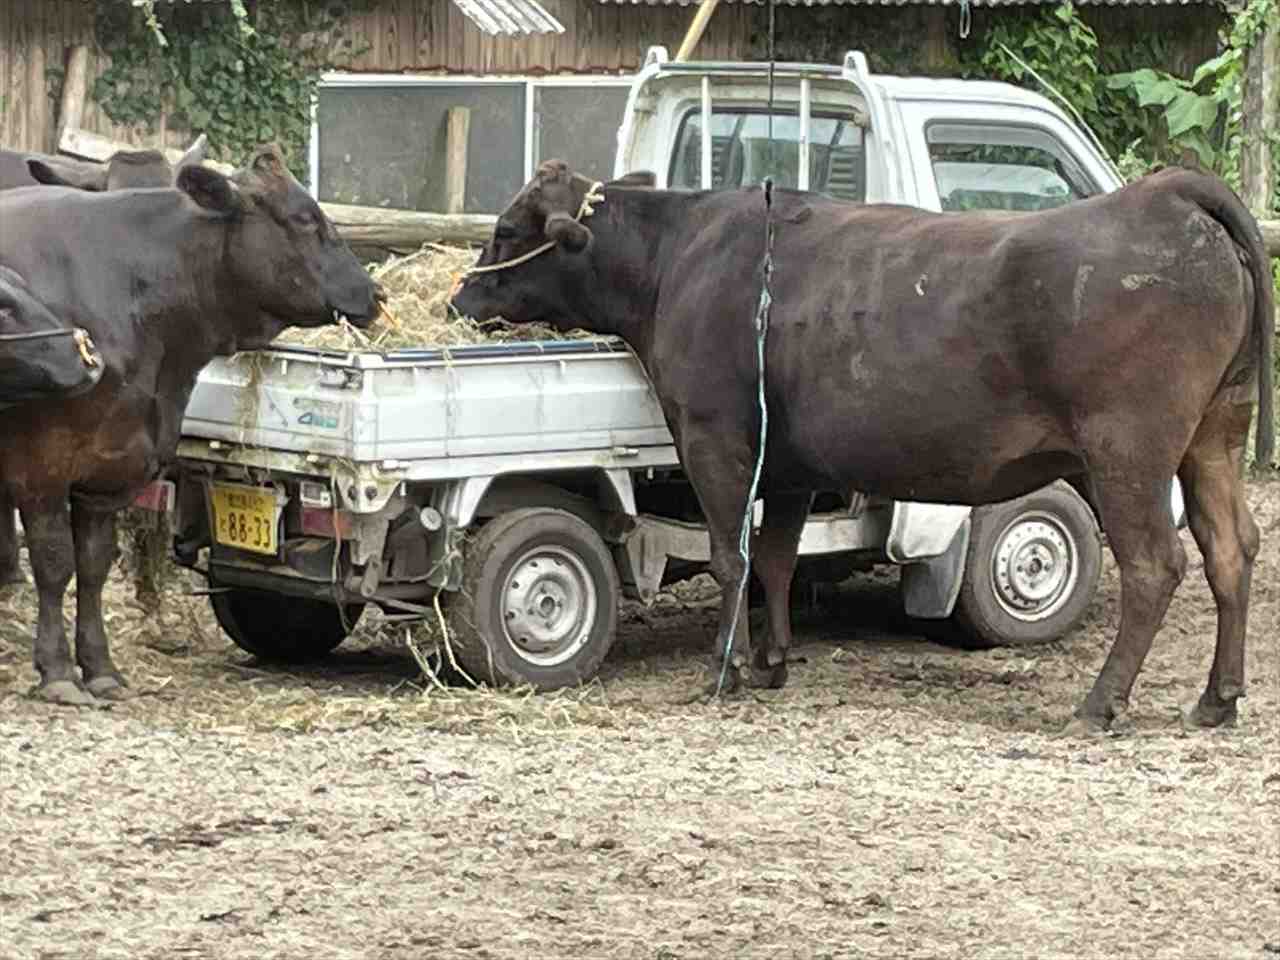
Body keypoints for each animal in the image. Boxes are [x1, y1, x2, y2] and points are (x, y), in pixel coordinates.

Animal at [0, 142, 376, 701]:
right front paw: (58, 672)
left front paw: (101, 667)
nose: (374, 292)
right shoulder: (41, 466)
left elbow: (92, 564)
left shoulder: (109, 467)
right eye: (304, 217)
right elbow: (53, 562)